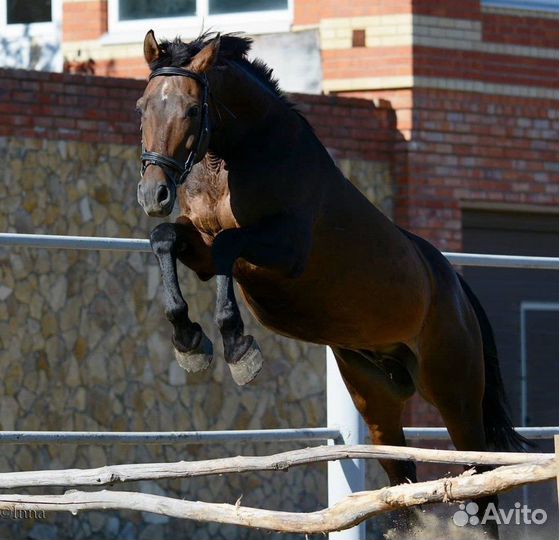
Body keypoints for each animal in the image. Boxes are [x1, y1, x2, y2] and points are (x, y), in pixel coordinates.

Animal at [136, 30, 524, 536]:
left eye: (190, 110)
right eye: (142, 107)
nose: (154, 194)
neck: (236, 155)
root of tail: (456, 289)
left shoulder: (284, 252)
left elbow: (228, 248)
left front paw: (238, 349)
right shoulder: (197, 243)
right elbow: (166, 239)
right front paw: (189, 343)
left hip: (454, 392)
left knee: (481, 481)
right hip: (375, 395)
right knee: (404, 480)